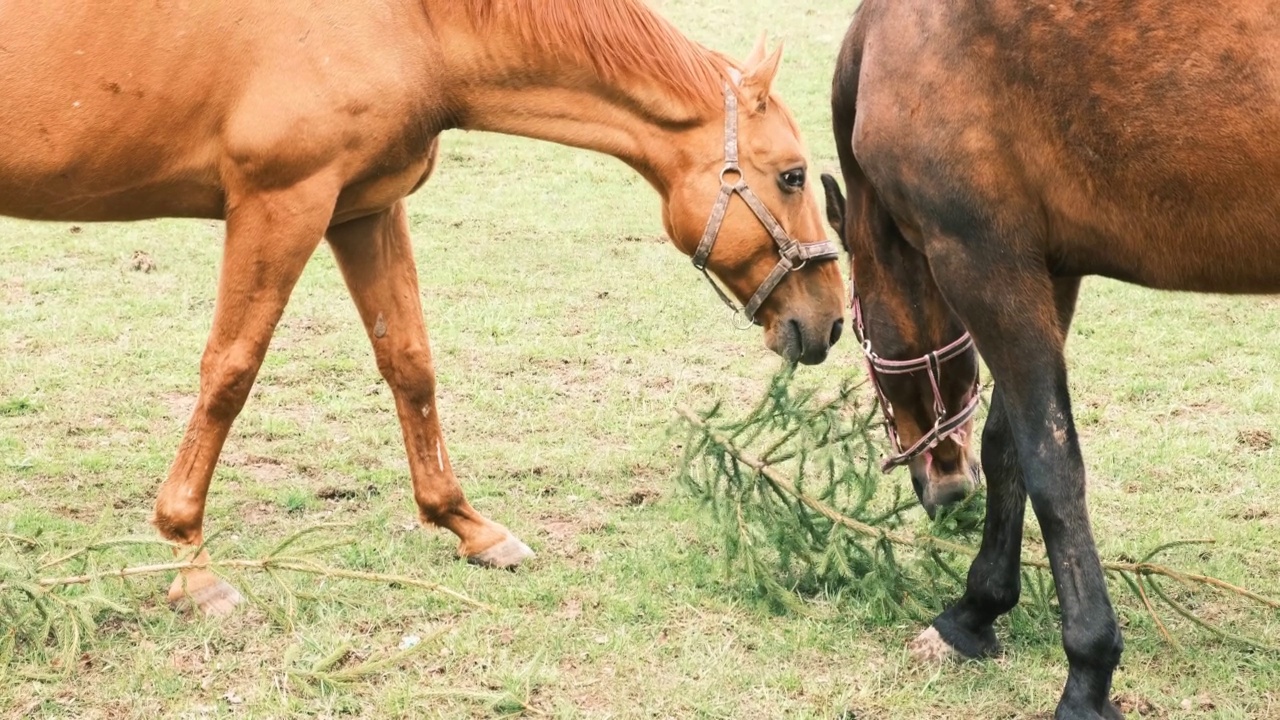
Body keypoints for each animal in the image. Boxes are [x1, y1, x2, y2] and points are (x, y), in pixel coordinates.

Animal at [2, 1, 849, 617]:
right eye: (792, 175)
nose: (831, 320)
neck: (410, 25)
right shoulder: (282, 204)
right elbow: (230, 373)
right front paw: (191, 562)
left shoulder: (362, 209)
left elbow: (409, 363)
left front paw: (469, 527)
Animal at [824, 1, 1274, 717]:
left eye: (857, 330)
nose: (944, 487)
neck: (895, 45)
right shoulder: (1049, 269)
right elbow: (1005, 443)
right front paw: (975, 611)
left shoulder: (983, 263)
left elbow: (1051, 467)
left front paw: (1088, 674)